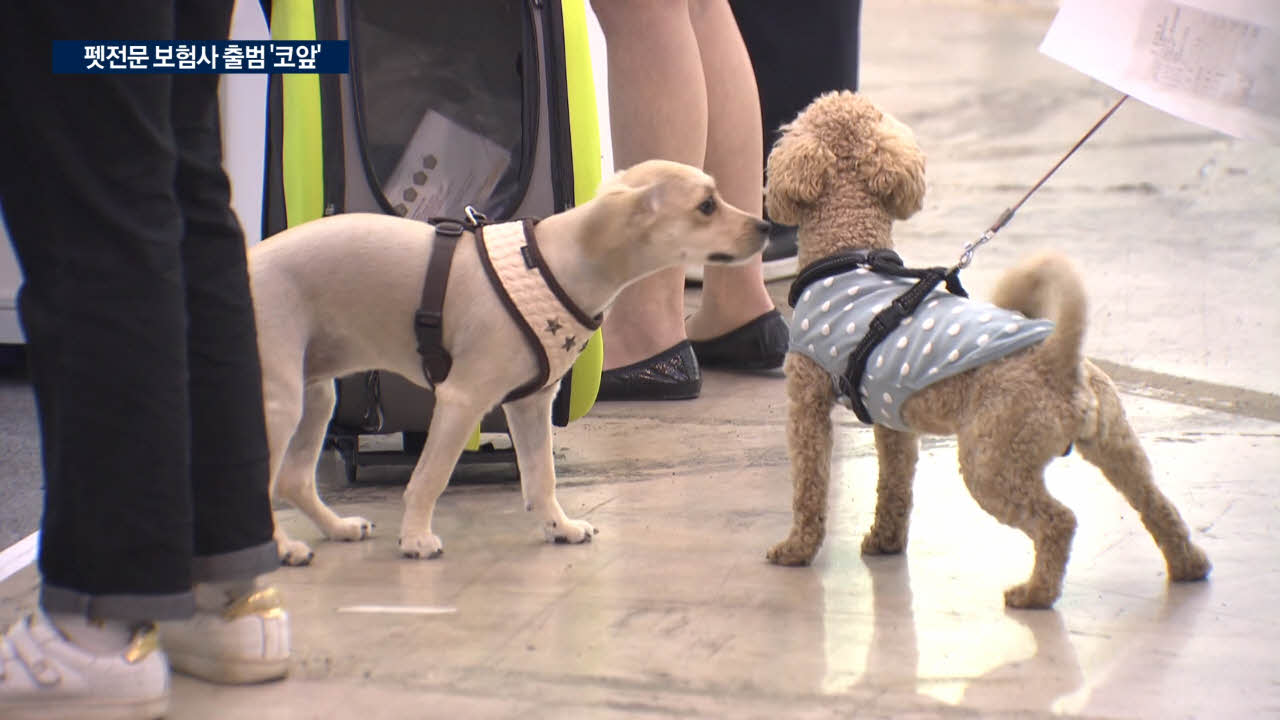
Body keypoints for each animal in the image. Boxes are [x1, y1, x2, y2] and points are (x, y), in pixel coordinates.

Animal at [252, 159, 768, 563]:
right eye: (706, 205)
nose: (767, 227)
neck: (554, 265)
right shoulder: (462, 401)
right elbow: (430, 477)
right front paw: (416, 537)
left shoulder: (531, 404)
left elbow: (541, 478)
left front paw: (560, 527)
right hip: (281, 403)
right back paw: (283, 548)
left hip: (316, 397)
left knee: (293, 481)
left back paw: (336, 528)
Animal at [762, 89, 1213, 604]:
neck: (850, 247)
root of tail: (1059, 363)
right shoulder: (892, 421)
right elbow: (894, 486)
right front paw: (885, 542)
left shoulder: (807, 405)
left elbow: (809, 484)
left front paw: (796, 548)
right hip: (1117, 445)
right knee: (1156, 504)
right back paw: (1188, 565)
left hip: (991, 461)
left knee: (1058, 521)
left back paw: (1035, 593)